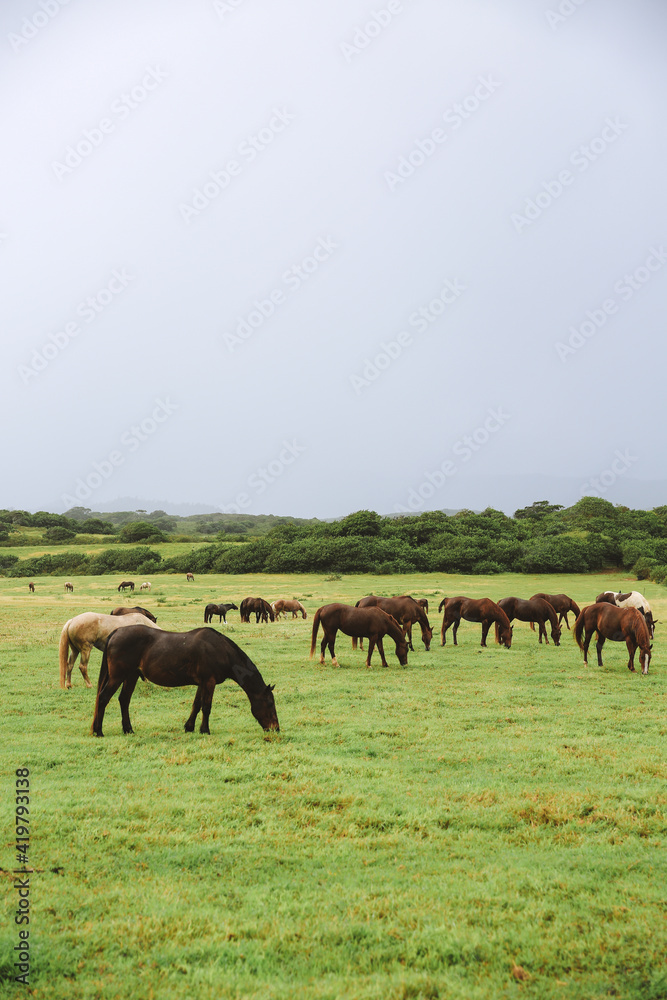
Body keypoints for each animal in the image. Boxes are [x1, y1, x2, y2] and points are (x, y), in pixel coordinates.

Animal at [91, 626, 279, 737]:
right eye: (270, 704)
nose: (275, 729)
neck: (220, 650)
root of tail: (116, 632)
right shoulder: (209, 682)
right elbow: (206, 707)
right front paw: (205, 730)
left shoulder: (202, 683)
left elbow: (196, 705)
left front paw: (189, 727)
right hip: (118, 676)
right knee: (103, 697)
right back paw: (98, 731)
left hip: (131, 676)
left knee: (124, 700)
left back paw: (128, 729)